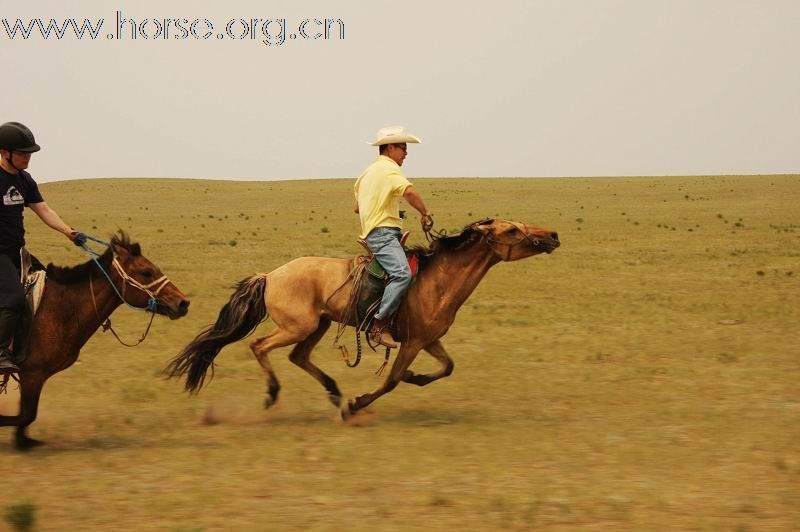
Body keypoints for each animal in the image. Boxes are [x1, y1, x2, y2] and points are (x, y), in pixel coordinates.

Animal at [0, 232, 190, 448]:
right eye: (147, 272)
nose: (183, 302)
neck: (60, 308)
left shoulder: (34, 376)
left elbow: (26, 415)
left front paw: (23, 441)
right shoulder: (33, 373)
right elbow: (26, 415)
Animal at [166, 218, 560, 418]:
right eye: (512, 230)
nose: (553, 235)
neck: (438, 279)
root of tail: (270, 275)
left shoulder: (429, 339)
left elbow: (447, 367)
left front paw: (417, 378)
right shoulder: (412, 342)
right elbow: (392, 380)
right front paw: (357, 405)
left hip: (319, 324)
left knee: (298, 356)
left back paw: (332, 391)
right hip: (298, 326)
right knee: (259, 345)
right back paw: (274, 394)